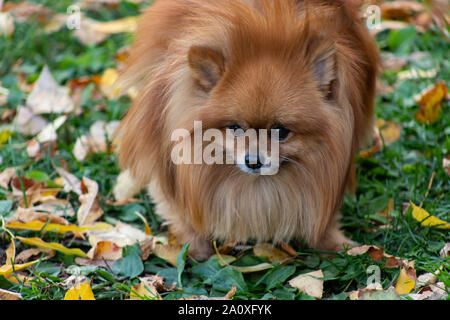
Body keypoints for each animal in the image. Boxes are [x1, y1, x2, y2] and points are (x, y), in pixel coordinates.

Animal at [113, 0, 380, 260]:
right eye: (235, 128)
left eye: (281, 131)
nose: (253, 161)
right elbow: (177, 207)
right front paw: (196, 248)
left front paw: (336, 244)